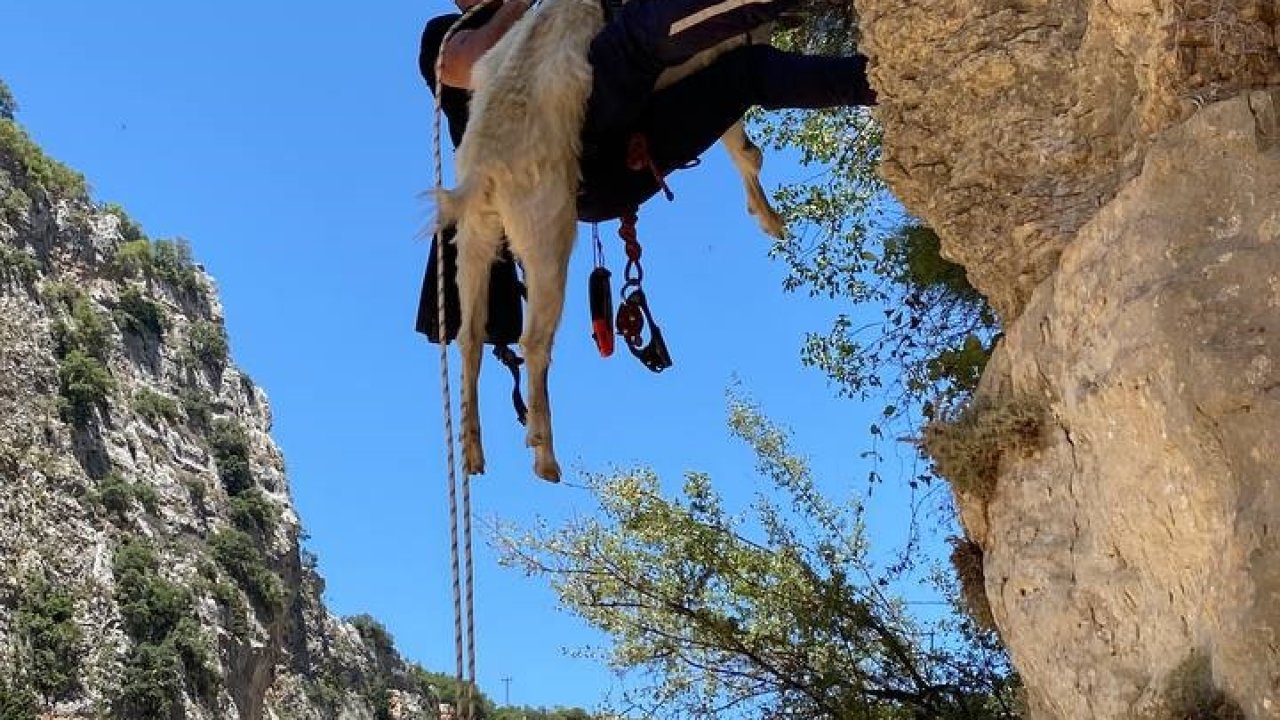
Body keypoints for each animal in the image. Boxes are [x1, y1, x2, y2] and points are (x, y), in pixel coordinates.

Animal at [437, 0, 778, 481]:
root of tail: (486, 164)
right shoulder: (717, 55)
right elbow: (743, 148)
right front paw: (769, 217)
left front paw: (766, 214)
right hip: (547, 234)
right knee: (533, 341)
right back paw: (543, 453)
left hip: (475, 241)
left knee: (469, 337)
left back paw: (472, 449)